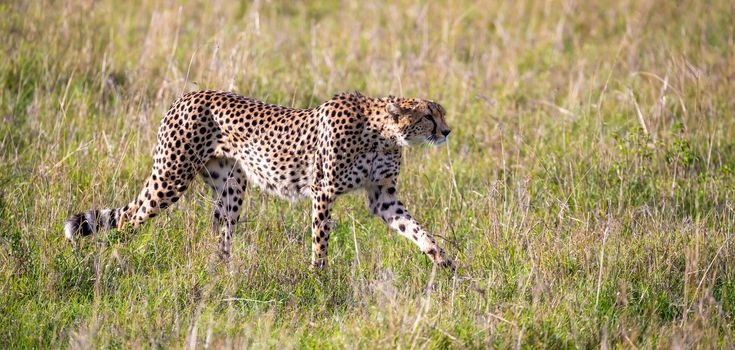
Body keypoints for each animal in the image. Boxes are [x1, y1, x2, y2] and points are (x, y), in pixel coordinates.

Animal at [64, 89, 454, 270]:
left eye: (441, 114)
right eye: (429, 117)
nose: (448, 131)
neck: (382, 134)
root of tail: (186, 95)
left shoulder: (383, 198)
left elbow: (416, 230)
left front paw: (444, 262)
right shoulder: (323, 190)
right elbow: (321, 240)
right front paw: (318, 276)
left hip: (231, 186)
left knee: (219, 231)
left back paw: (223, 271)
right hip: (170, 178)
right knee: (127, 217)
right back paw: (113, 258)